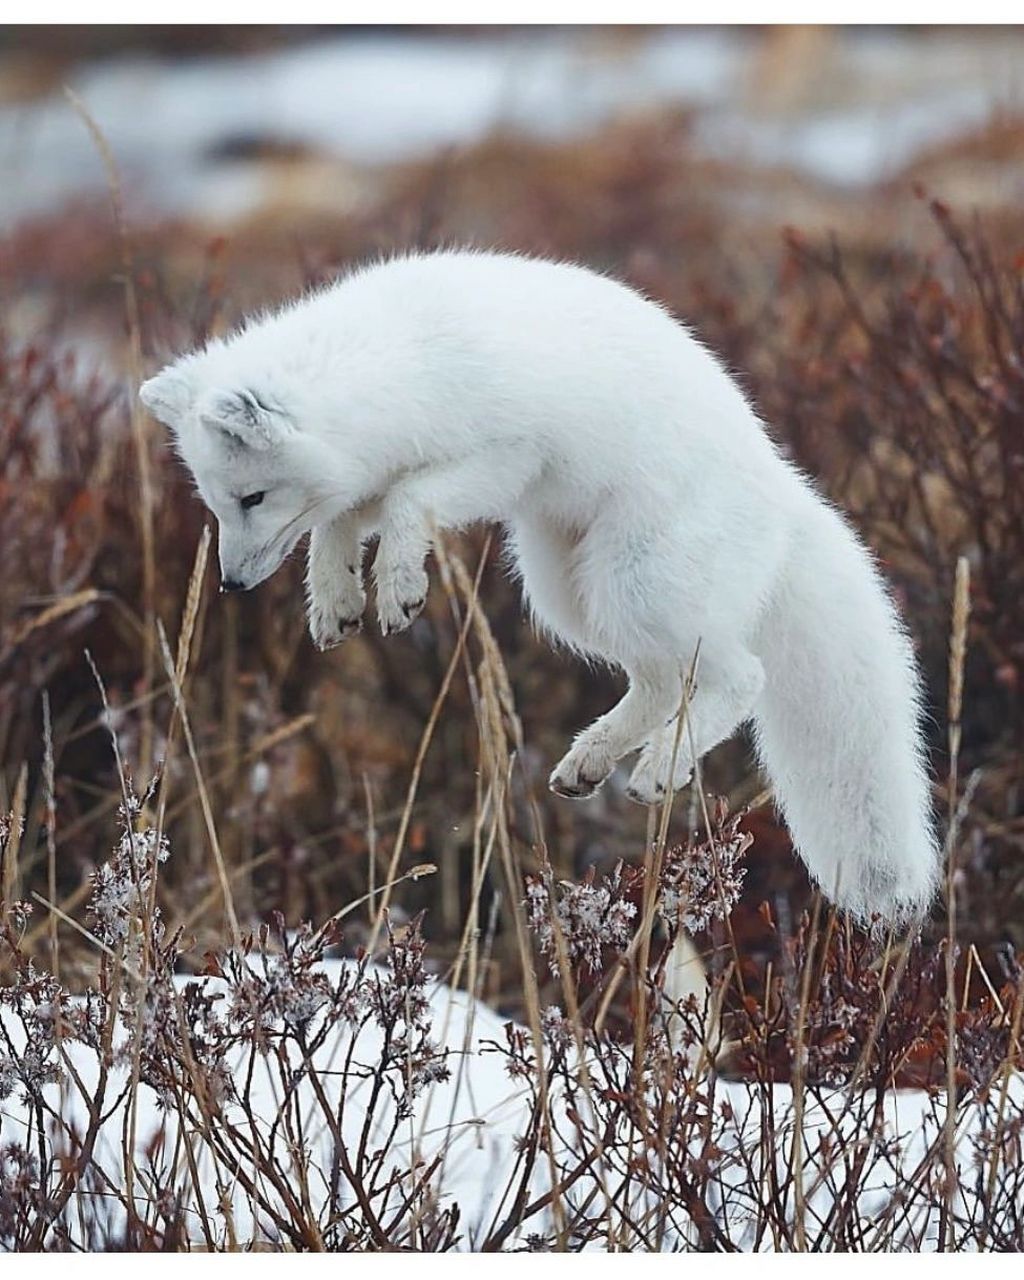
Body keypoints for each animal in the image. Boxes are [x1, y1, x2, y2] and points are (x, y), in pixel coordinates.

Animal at [140, 249, 942, 926]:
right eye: (215, 504)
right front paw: (336, 602)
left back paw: (661, 769)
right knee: (660, 681)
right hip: (569, 596)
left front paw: (397, 589)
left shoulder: (501, 460)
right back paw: (589, 763)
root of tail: (787, 497)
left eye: (252, 498)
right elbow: (337, 523)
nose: (232, 584)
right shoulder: (366, 476)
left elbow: (404, 506)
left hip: (634, 581)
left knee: (740, 677)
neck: (398, 367)